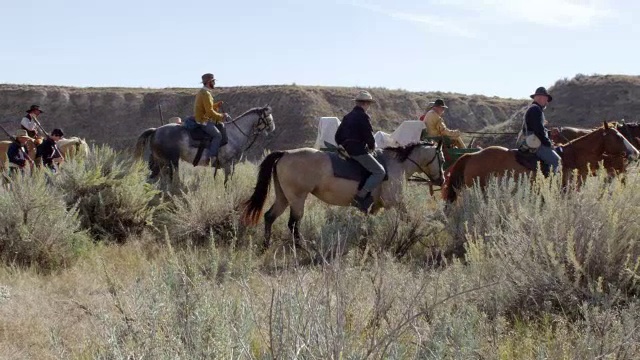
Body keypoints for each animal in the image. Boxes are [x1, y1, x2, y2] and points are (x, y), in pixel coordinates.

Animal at [134, 105, 274, 187]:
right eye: (268, 116)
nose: (272, 128)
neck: (234, 134)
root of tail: (156, 130)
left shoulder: (230, 165)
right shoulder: (227, 164)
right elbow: (226, 182)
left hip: (161, 162)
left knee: (158, 178)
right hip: (171, 161)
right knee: (170, 178)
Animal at [241, 141, 444, 248]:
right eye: (441, 159)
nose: (441, 180)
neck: (395, 165)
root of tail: (285, 153)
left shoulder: (374, 208)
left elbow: (367, 225)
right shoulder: (395, 203)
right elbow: (409, 220)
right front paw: (417, 236)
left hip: (283, 197)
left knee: (269, 216)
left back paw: (266, 245)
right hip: (297, 198)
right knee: (293, 224)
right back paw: (302, 246)